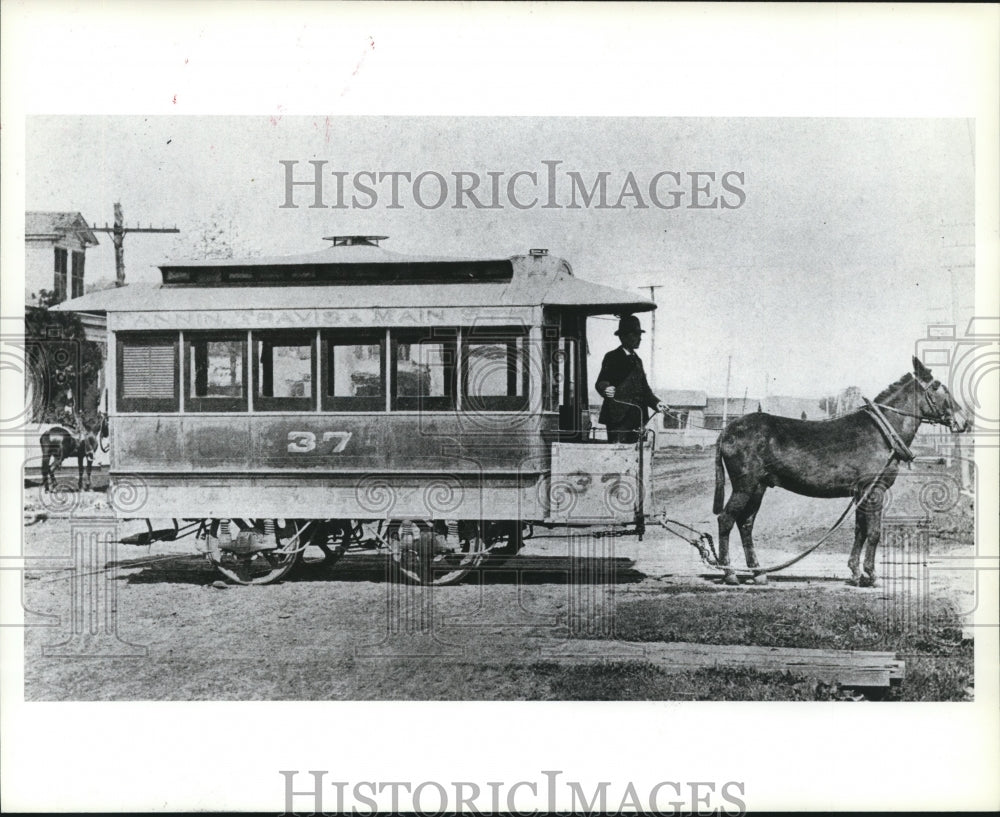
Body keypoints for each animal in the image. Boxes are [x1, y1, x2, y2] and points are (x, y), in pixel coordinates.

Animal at [716, 356, 972, 588]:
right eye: (939, 387)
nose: (965, 421)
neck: (882, 433)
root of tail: (727, 430)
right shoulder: (875, 490)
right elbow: (874, 532)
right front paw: (871, 575)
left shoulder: (861, 493)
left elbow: (860, 530)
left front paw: (856, 572)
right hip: (745, 486)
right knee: (726, 520)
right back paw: (729, 573)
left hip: (759, 487)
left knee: (746, 524)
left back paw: (758, 573)